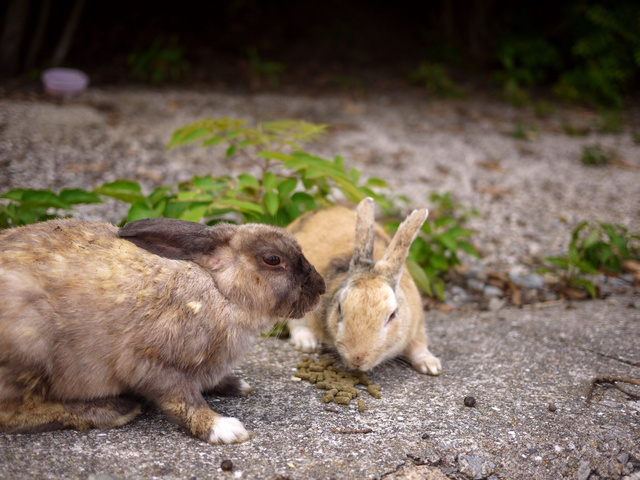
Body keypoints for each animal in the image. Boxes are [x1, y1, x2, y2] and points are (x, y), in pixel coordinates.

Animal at [1, 217, 324, 442]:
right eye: (273, 259)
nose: (320, 288)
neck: (220, 292)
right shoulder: (149, 363)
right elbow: (182, 399)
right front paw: (224, 429)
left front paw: (235, 385)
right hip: (30, 345)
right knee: (13, 413)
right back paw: (112, 411)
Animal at [288, 197, 442, 376]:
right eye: (340, 309)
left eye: (392, 315)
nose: (357, 359)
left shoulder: (417, 326)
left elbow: (419, 345)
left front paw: (431, 366)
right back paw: (307, 342)